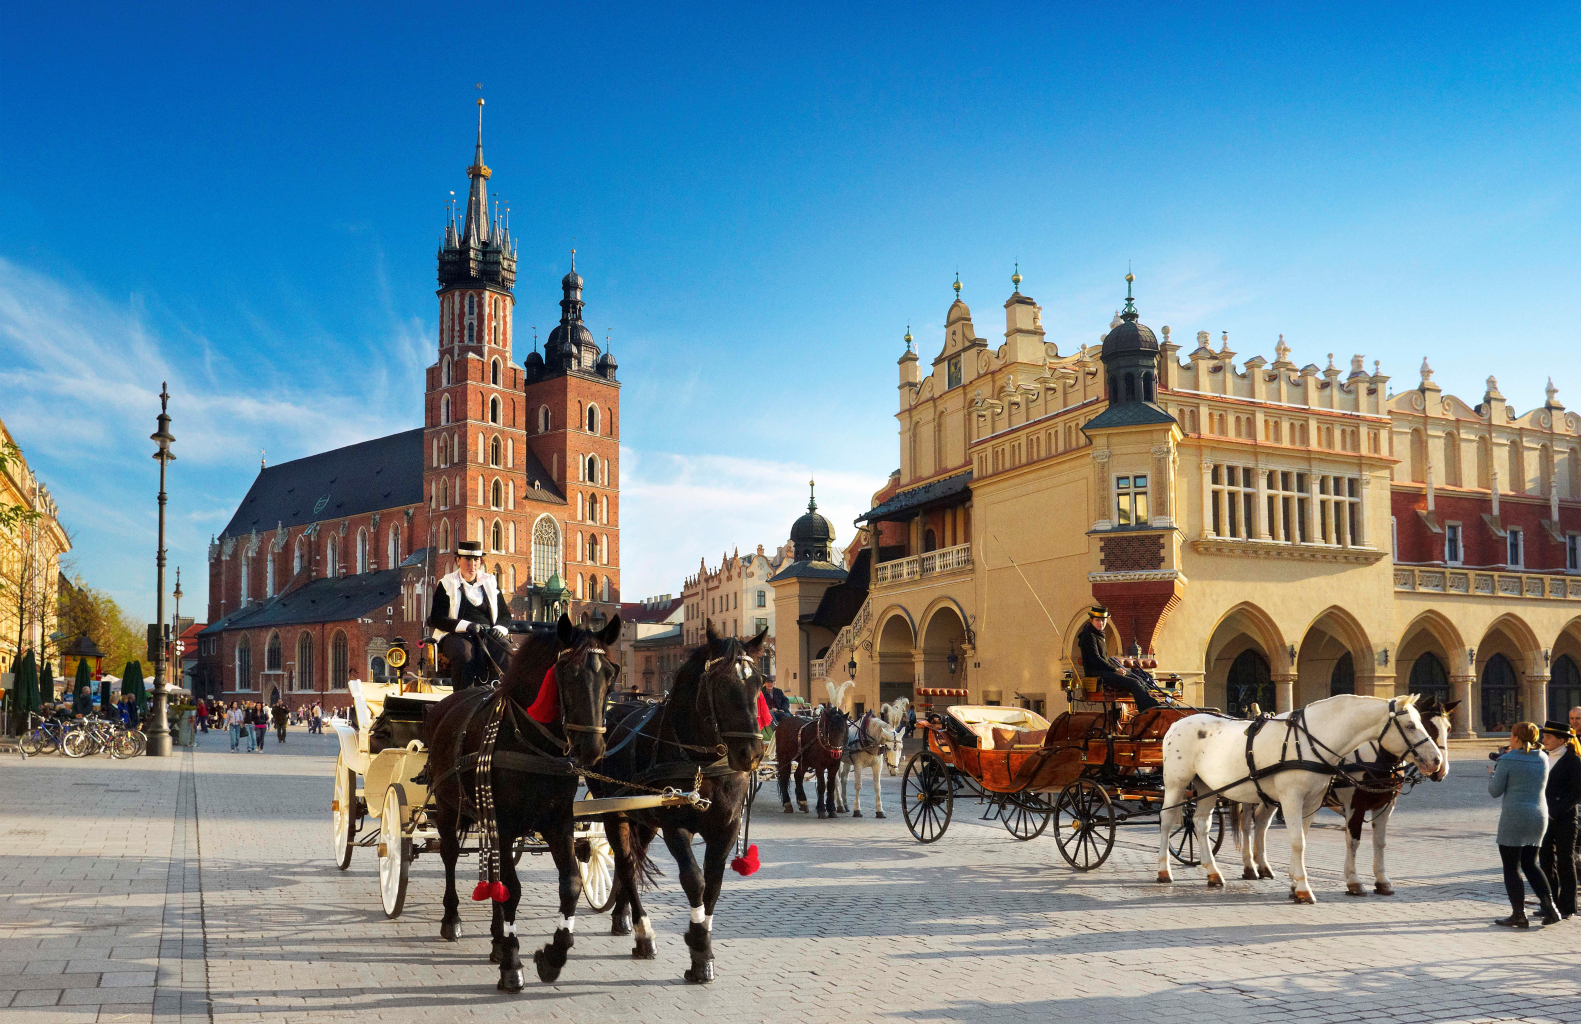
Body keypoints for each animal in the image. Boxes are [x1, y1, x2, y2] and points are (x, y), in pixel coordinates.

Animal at [423, 616, 619, 992]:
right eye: (569, 673)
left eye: (611, 674)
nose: (592, 748)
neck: (532, 745)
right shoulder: (503, 822)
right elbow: (512, 890)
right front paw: (513, 964)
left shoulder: (558, 823)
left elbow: (571, 883)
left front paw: (553, 956)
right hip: (447, 807)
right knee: (451, 857)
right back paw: (452, 919)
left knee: (493, 868)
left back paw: (497, 939)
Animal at [591, 616, 768, 986]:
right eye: (721, 682)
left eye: (759, 681)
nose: (752, 753)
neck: (701, 760)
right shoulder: (675, 827)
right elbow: (693, 880)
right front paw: (699, 947)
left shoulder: (726, 828)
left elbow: (712, 885)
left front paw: (704, 947)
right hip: (614, 811)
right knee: (626, 864)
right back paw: (643, 933)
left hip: (642, 818)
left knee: (633, 860)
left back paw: (622, 916)